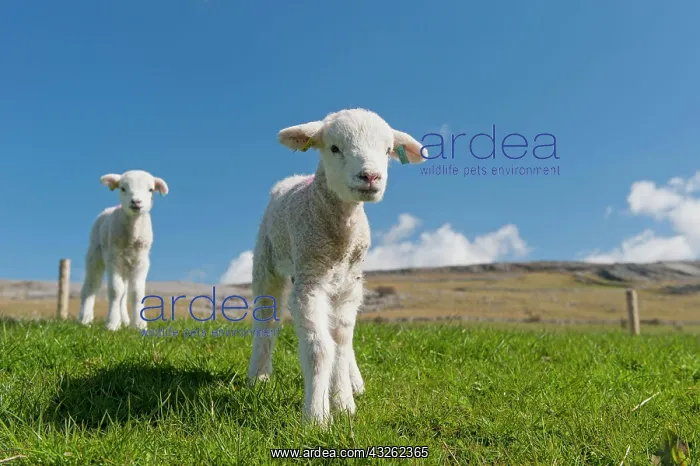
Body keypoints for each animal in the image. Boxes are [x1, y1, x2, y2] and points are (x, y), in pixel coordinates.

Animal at [77, 170, 169, 331]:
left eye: (151, 190)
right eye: (123, 188)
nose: (136, 202)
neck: (132, 237)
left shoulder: (141, 262)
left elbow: (136, 292)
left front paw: (139, 325)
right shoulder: (113, 260)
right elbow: (115, 290)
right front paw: (112, 324)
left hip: (126, 265)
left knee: (124, 294)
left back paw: (125, 320)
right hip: (95, 254)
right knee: (91, 286)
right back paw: (85, 319)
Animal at [247, 108, 427, 426]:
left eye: (388, 150)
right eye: (334, 148)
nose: (370, 176)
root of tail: (294, 179)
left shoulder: (349, 286)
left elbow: (341, 344)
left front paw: (344, 404)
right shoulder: (309, 283)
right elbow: (320, 349)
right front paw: (317, 416)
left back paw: (354, 382)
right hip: (267, 260)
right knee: (266, 319)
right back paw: (259, 375)